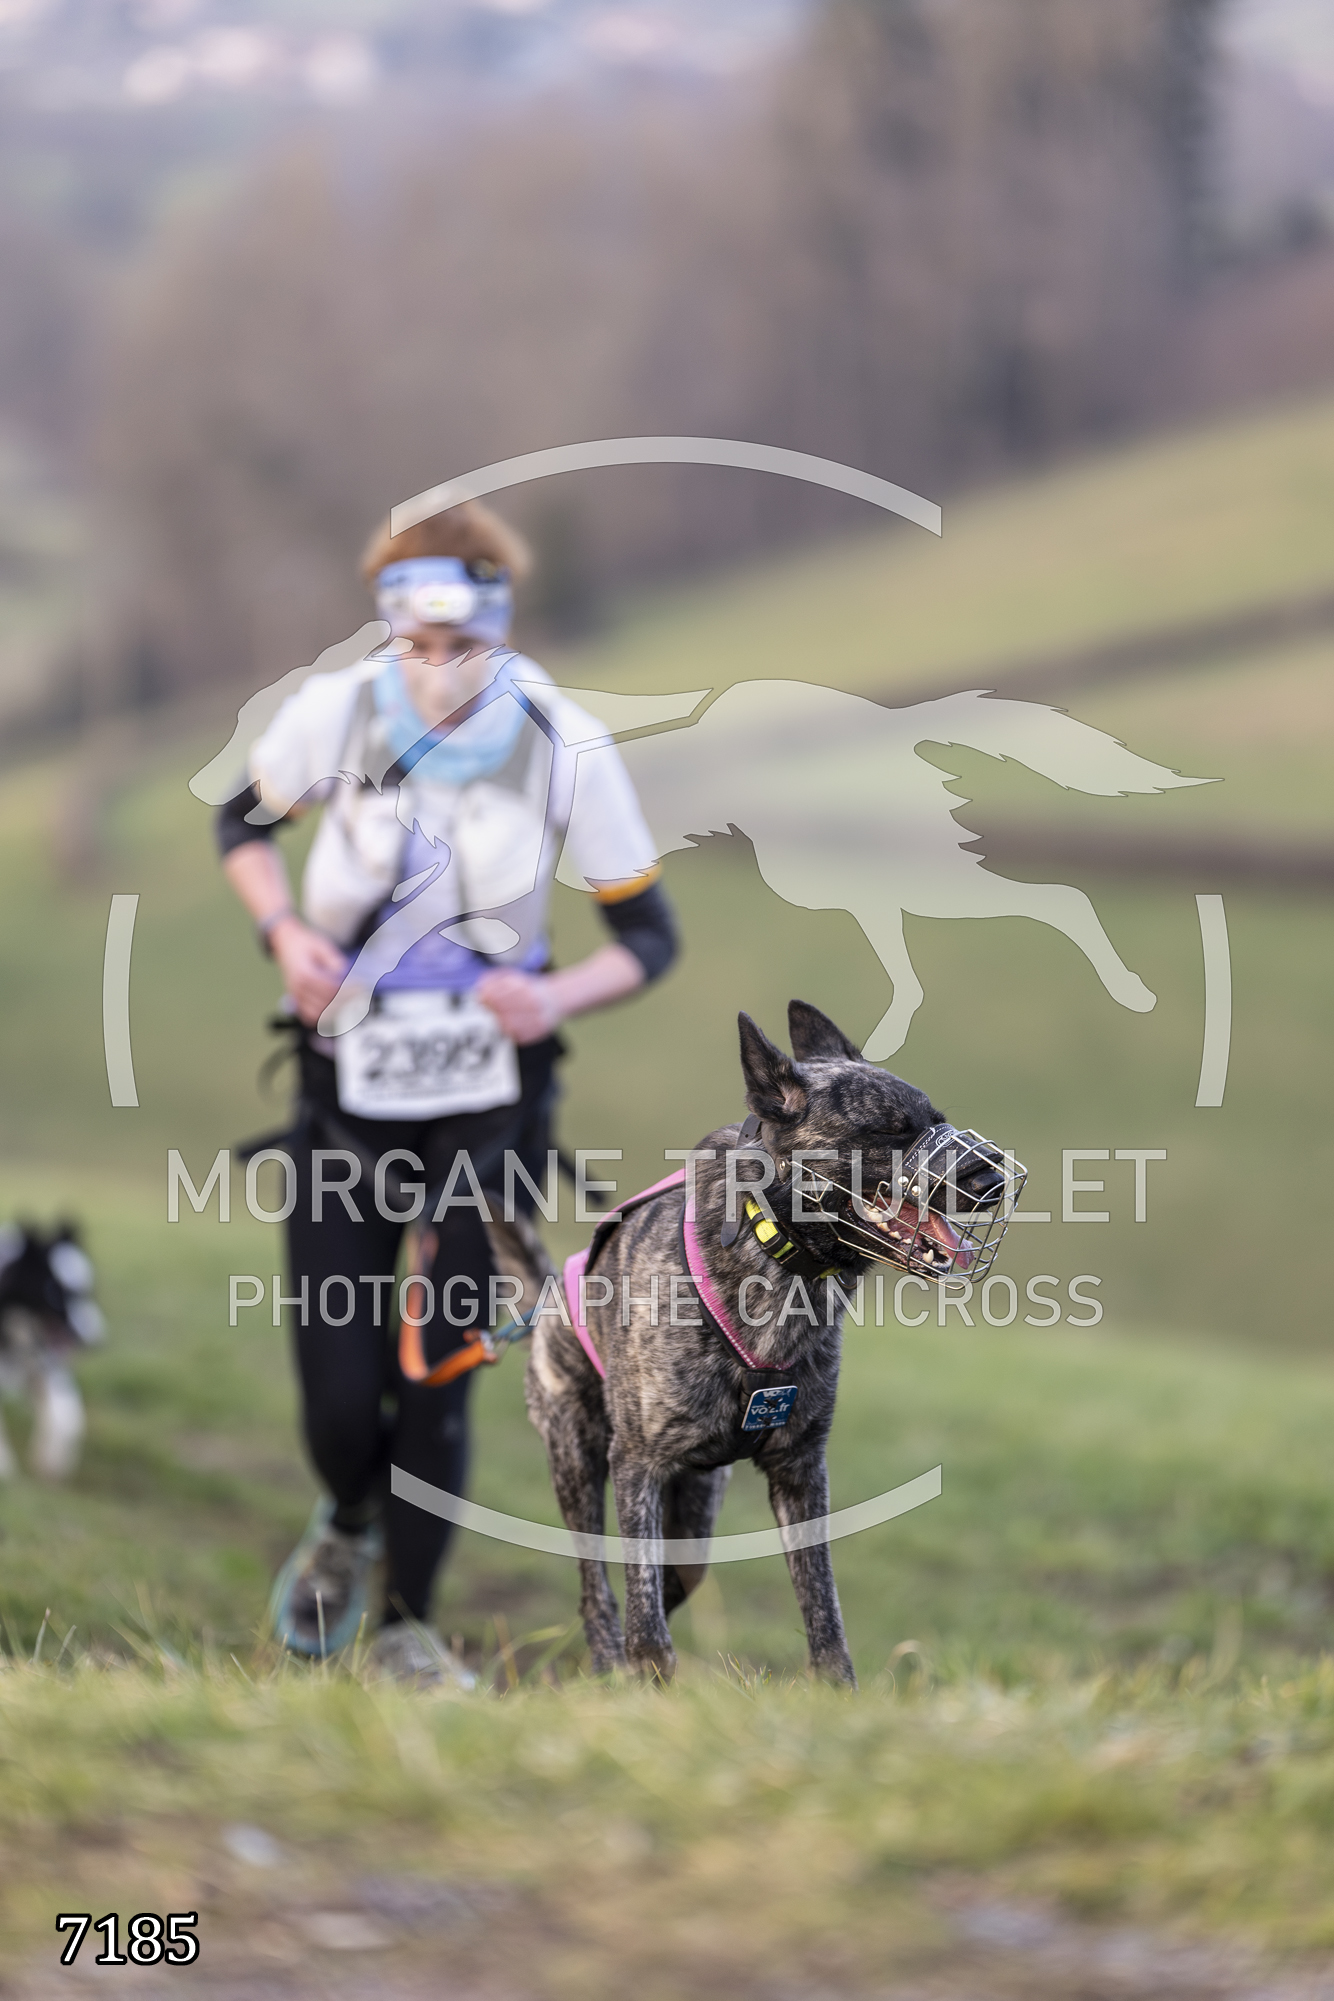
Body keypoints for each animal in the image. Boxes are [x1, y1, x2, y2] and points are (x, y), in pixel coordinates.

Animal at [0, 1224, 105, 1480]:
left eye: (88, 1292)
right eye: (56, 1293)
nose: (97, 1341)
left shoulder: (44, 1364)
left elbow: (67, 1414)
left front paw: (50, 1461)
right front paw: (5, 1468)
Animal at [486, 1000, 1014, 1685]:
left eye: (939, 1122)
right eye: (894, 1132)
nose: (996, 1175)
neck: (779, 1256)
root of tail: (551, 1296)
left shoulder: (799, 1472)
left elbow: (823, 1610)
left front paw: (837, 1692)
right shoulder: (637, 1467)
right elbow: (645, 1624)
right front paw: (647, 1685)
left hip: (693, 1519)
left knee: (666, 1583)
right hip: (578, 1461)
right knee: (599, 1592)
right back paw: (606, 1669)